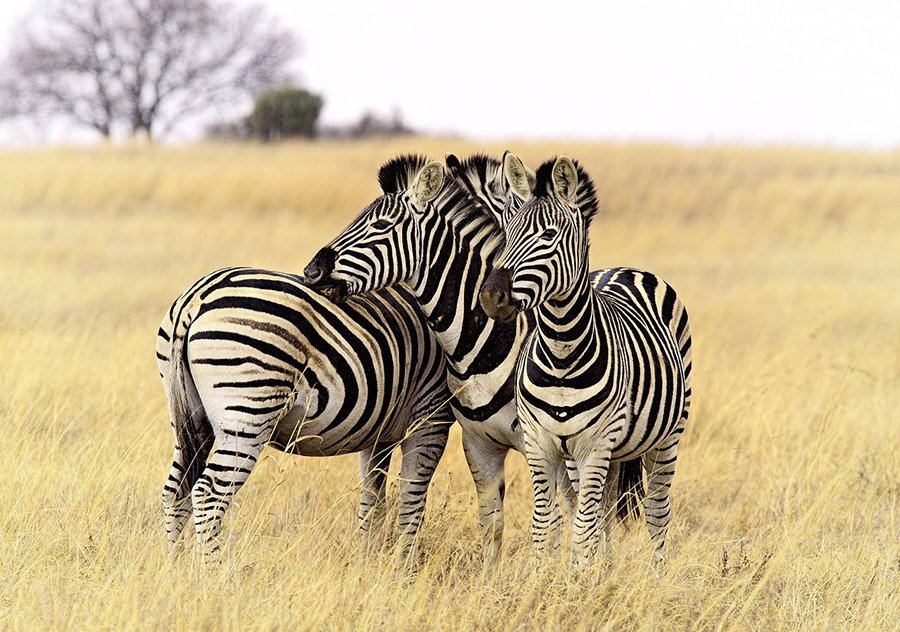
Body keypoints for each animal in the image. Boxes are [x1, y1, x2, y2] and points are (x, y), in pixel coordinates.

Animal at [157, 266, 455, 560]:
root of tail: (196, 298)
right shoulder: (431, 412)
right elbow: (412, 498)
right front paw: (405, 564)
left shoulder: (380, 431)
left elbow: (373, 500)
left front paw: (368, 559)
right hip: (248, 413)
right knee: (207, 495)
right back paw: (212, 570)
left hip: (191, 417)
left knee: (176, 491)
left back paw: (176, 566)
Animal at [479, 154, 692, 564]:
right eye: (507, 231)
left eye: (548, 236)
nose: (492, 297)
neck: (561, 353)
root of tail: (625, 268)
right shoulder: (541, 444)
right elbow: (546, 526)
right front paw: (545, 577)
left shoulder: (594, 445)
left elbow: (581, 530)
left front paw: (577, 579)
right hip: (608, 452)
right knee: (604, 509)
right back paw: (604, 569)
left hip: (667, 437)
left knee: (657, 511)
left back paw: (659, 573)